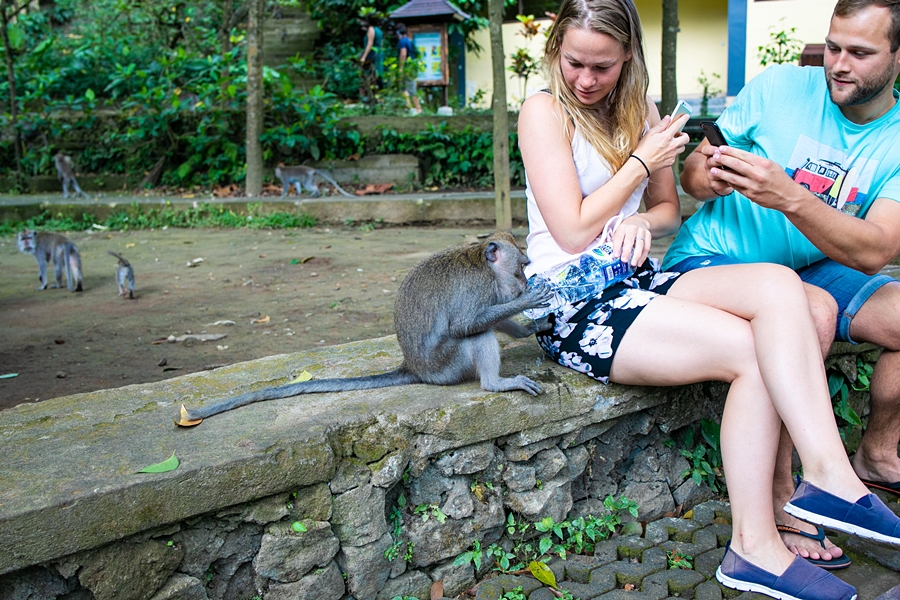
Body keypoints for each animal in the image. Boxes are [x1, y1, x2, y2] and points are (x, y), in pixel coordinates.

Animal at [175, 231, 552, 426]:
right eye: (521, 267)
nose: (523, 284)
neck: (482, 263)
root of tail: (413, 368)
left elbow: (491, 317)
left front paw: (530, 325)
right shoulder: (479, 288)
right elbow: (467, 323)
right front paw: (529, 301)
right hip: (447, 365)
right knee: (475, 335)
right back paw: (495, 384)